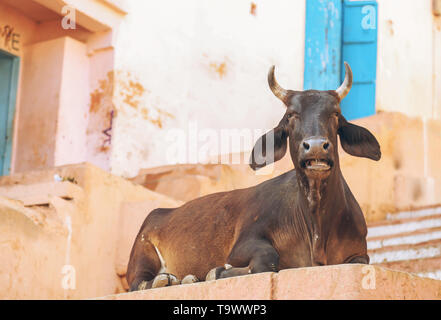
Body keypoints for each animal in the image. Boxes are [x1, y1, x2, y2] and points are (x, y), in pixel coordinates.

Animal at [125, 61, 380, 292]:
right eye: (291, 115)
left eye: (336, 113)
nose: (316, 146)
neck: (316, 225)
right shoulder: (244, 243)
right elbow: (266, 260)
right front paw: (216, 271)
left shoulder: (360, 253)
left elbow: (361, 261)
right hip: (142, 252)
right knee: (137, 284)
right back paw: (166, 280)